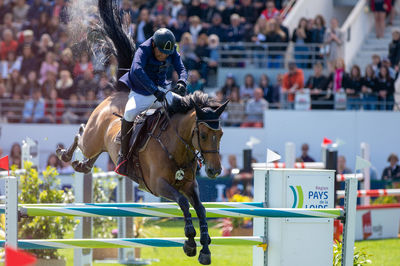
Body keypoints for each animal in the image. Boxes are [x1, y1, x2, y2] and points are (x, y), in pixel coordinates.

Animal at [57, 0, 230, 264]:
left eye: (219, 135)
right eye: (202, 135)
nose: (214, 171)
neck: (176, 146)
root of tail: (119, 91)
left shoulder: (190, 184)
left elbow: (199, 208)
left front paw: (205, 249)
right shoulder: (158, 185)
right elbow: (183, 203)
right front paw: (190, 243)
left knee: (90, 155)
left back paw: (82, 165)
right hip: (93, 137)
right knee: (81, 133)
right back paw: (66, 155)